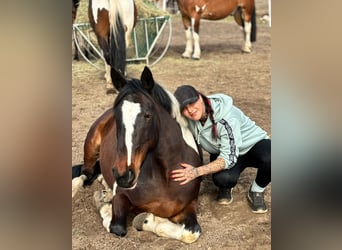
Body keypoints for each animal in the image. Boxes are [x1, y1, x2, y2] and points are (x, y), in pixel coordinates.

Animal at [71, 66, 202, 244]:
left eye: (148, 115)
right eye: (117, 116)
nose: (123, 175)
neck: (165, 176)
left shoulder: (189, 205)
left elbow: (190, 233)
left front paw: (150, 219)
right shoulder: (121, 196)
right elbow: (116, 227)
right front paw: (106, 205)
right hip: (90, 148)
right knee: (85, 173)